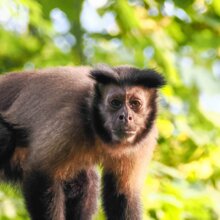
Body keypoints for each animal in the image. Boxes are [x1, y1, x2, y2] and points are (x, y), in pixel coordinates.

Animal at [0, 64, 165, 219]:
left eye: (135, 104)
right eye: (115, 103)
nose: (125, 116)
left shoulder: (144, 141)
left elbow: (123, 193)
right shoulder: (70, 121)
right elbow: (41, 173)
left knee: (86, 180)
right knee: (6, 137)